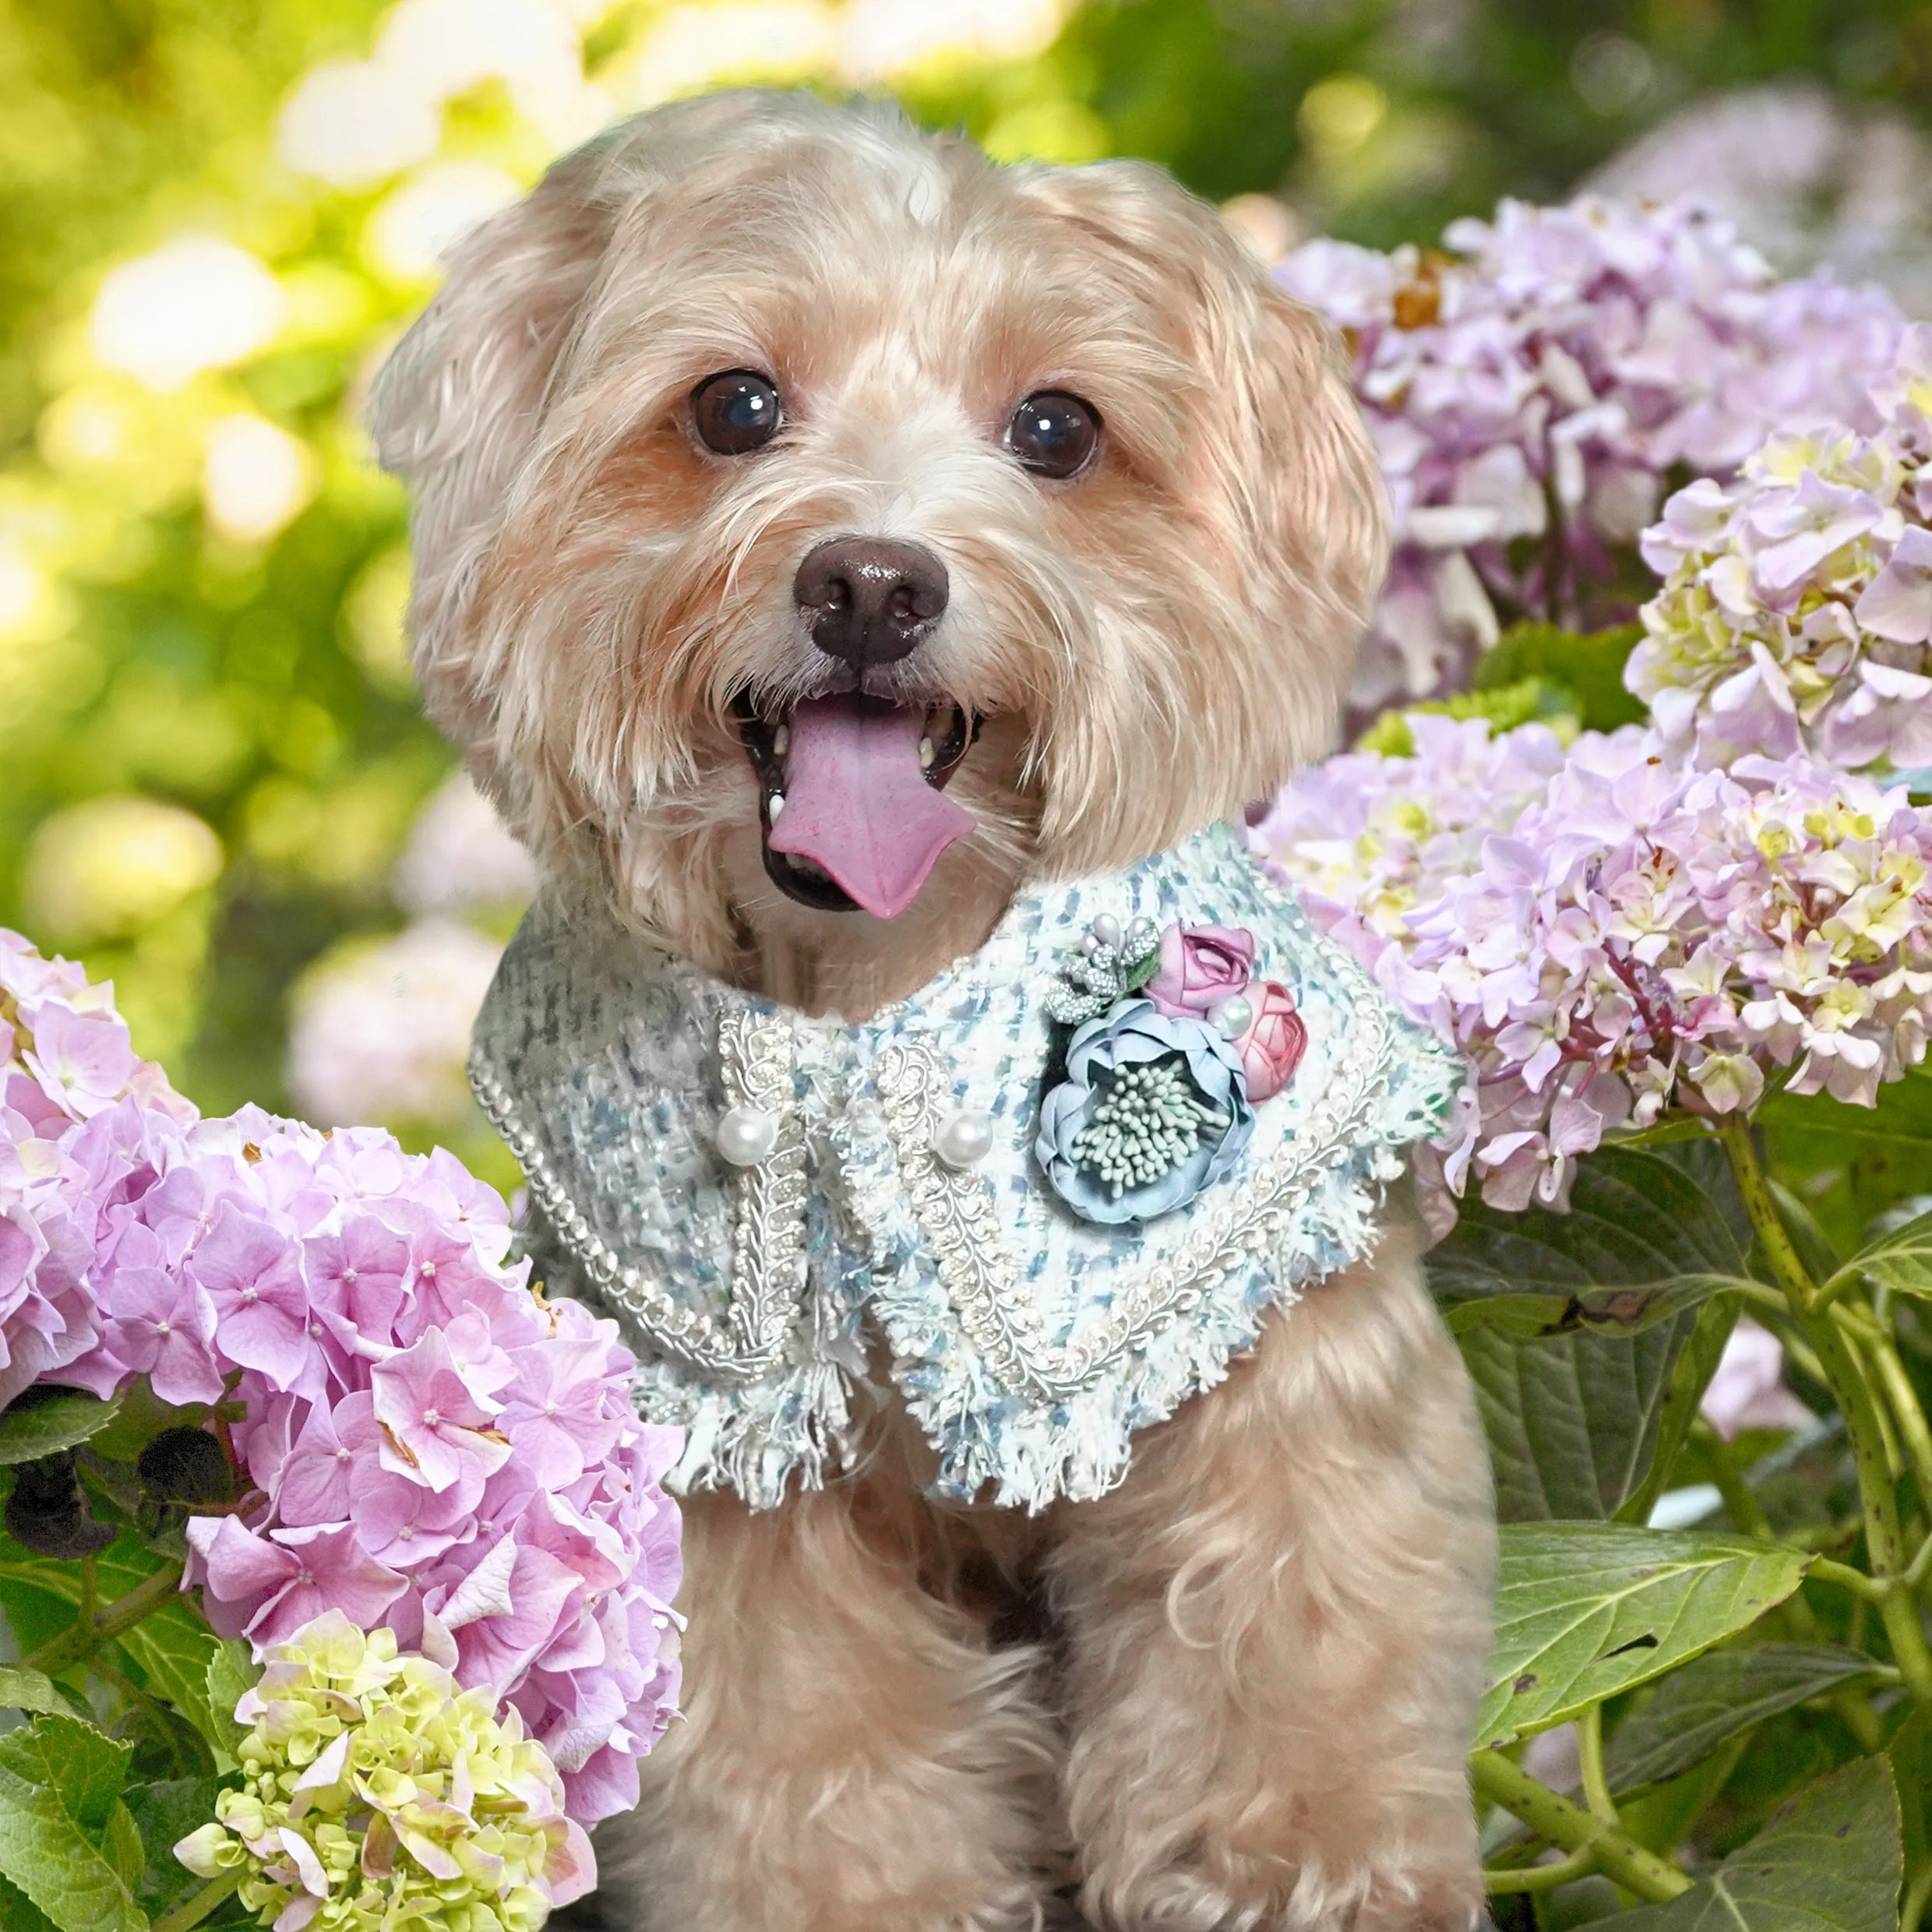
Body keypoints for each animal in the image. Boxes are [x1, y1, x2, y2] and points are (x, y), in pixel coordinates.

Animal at [372, 86, 1491, 1932]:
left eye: (1057, 427)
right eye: (734, 406)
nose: (873, 585)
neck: (863, 997)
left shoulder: (1268, 1324)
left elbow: (1287, 1615)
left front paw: (1301, 1857)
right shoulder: (723, 1442)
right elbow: (809, 1757)